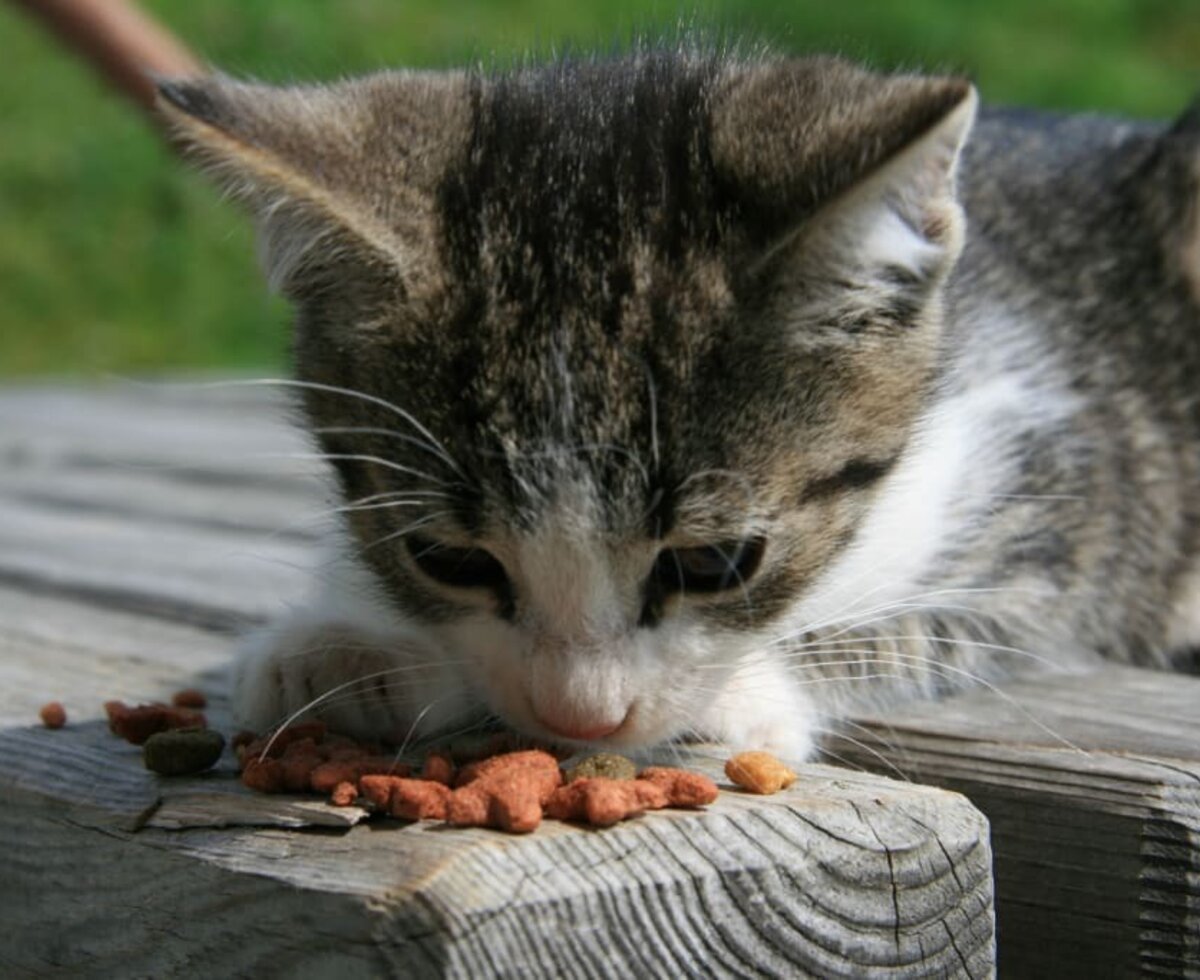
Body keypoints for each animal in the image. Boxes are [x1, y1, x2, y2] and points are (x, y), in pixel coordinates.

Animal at [157, 49, 1200, 762]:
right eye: (445, 557)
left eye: (715, 564)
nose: (580, 715)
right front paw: (348, 645)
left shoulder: (1072, 499)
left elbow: (940, 620)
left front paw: (743, 694)